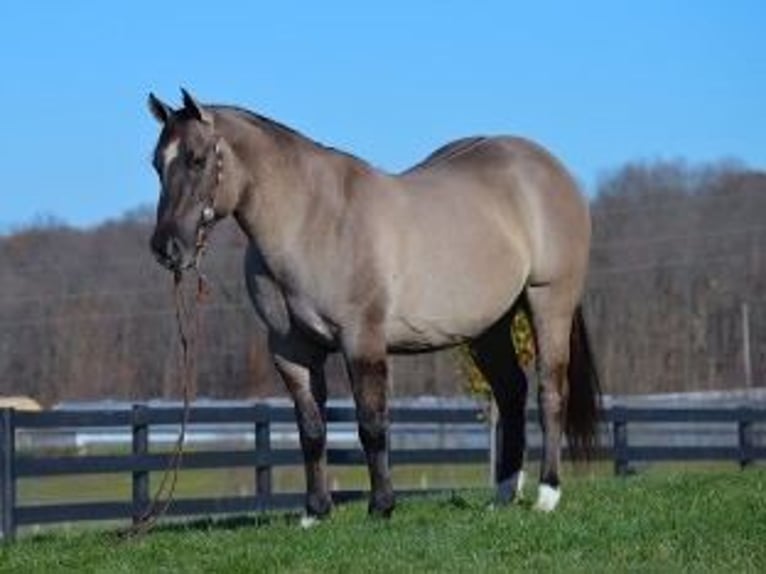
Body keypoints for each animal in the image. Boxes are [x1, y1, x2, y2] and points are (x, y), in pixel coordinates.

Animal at [146, 89, 600, 520]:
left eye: (197, 159)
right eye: (156, 164)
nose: (167, 248)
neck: (311, 221)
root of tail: (546, 166)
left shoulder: (361, 340)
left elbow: (371, 424)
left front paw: (381, 506)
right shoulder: (291, 351)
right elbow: (311, 430)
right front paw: (316, 512)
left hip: (549, 302)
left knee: (549, 392)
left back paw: (547, 494)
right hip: (488, 327)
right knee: (510, 393)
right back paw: (503, 496)